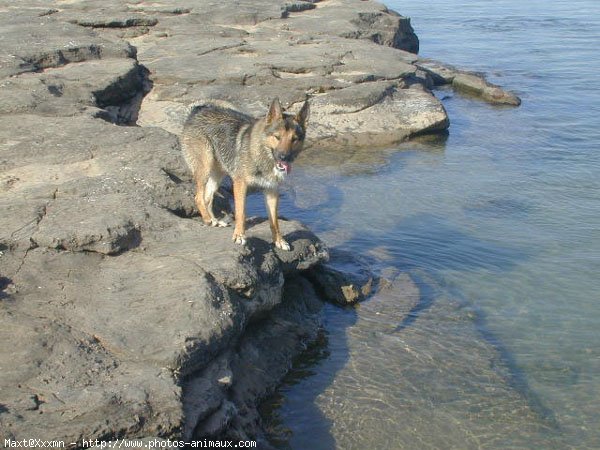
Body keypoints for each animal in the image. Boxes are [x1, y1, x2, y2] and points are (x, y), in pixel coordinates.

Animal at [182, 97, 310, 250]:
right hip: (205, 169)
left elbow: (274, 220)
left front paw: (279, 241)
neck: (263, 154)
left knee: (207, 198)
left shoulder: (271, 191)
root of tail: (196, 111)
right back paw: (208, 219)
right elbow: (241, 213)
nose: (284, 157)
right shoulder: (239, 184)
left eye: (294, 139)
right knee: (198, 197)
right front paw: (239, 236)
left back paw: (215, 221)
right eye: (277, 137)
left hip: (217, 176)